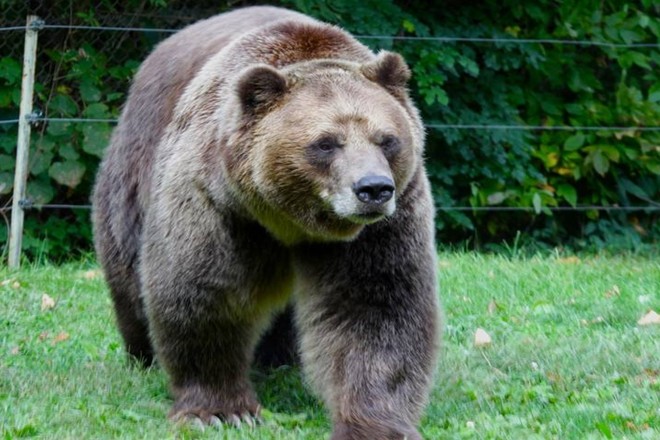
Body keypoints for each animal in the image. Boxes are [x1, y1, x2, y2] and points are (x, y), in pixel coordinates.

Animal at [93, 4, 440, 440]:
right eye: (326, 143)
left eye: (387, 139)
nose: (373, 188)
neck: (290, 219)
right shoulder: (217, 203)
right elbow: (202, 293)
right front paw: (221, 409)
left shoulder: (382, 227)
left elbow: (376, 307)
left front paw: (376, 423)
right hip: (132, 173)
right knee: (128, 275)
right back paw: (142, 354)